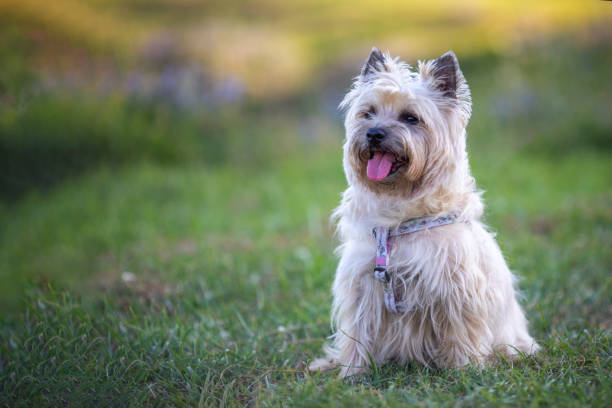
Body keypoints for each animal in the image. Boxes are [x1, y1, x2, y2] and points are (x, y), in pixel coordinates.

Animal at [308, 47, 536, 376]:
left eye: (411, 118)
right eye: (368, 113)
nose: (374, 133)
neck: (399, 220)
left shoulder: (454, 287)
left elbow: (459, 330)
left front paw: (464, 369)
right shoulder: (363, 286)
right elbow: (358, 332)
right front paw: (353, 371)